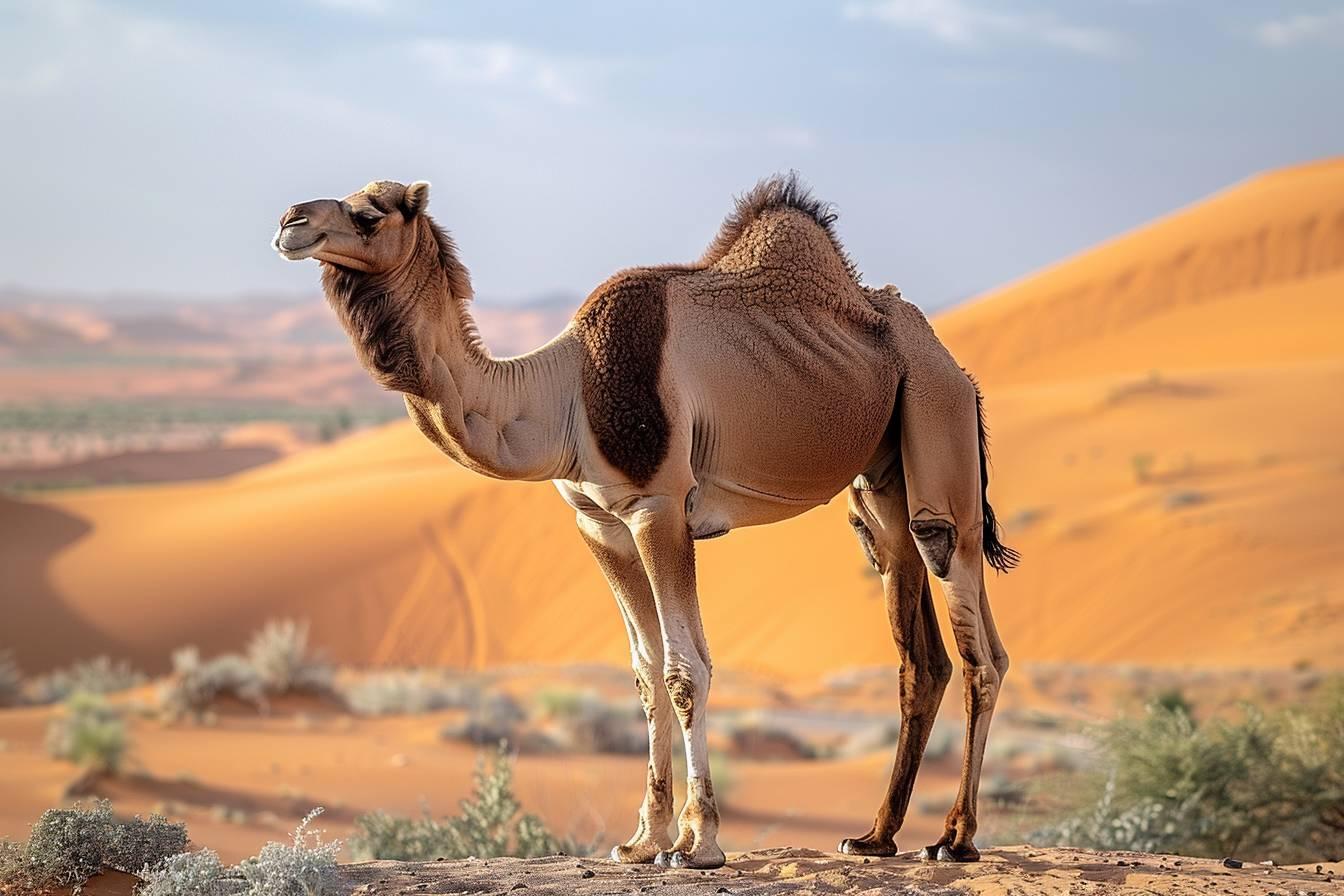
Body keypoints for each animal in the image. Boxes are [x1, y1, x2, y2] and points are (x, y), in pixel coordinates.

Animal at [272, 173, 1010, 870]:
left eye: (372, 211)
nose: (289, 221)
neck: (560, 394)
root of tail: (957, 368)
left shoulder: (659, 507)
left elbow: (687, 671)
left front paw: (697, 844)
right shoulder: (601, 524)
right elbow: (645, 673)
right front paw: (640, 842)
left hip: (937, 422)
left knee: (973, 629)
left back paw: (955, 840)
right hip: (880, 481)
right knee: (920, 647)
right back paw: (875, 837)